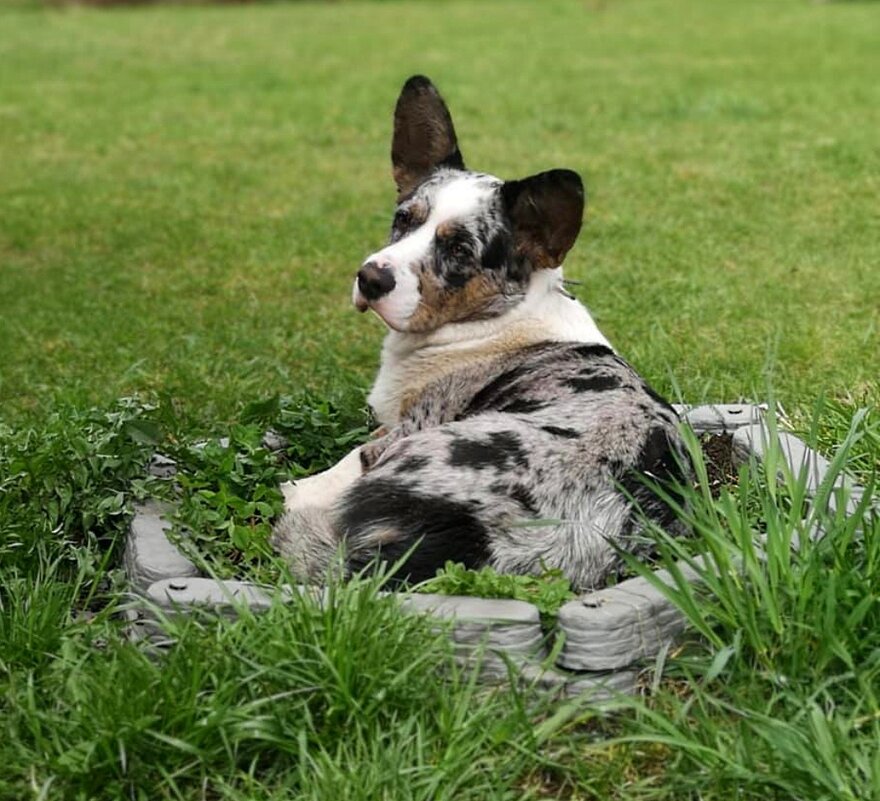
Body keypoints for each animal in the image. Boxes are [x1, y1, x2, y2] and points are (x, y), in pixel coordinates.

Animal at [272, 75, 692, 592]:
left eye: (458, 249)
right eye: (404, 218)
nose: (370, 279)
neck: (493, 319)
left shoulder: (407, 427)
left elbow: (350, 457)